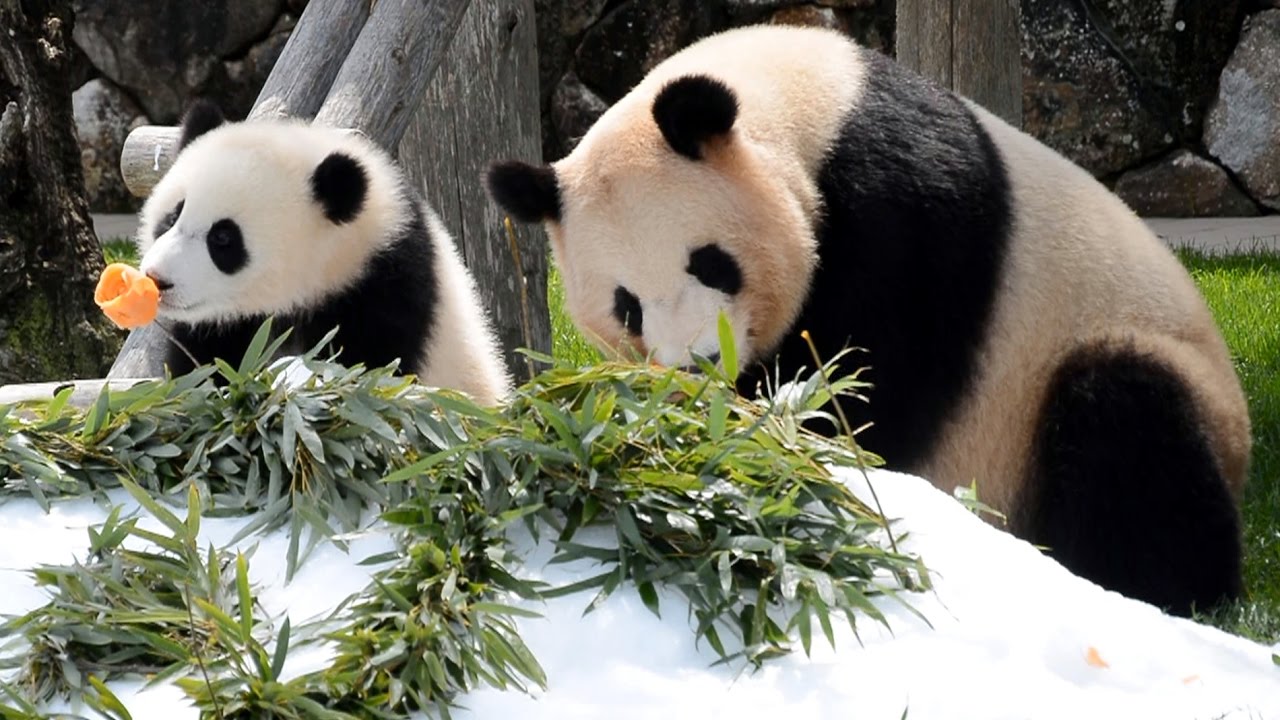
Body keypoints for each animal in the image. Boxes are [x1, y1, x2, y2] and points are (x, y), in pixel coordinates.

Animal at [137, 101, 512, 406]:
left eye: (223, 238)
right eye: (172, 216)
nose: (158, 279)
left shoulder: (386, 291)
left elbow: (367, 368)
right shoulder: (225, 326)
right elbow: (204, 368)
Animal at [486, 25, 1252, 617]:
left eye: (709, 263)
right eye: (627, 305)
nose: (698, 362)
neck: (803, 109)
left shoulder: (902, 216)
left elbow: (872, 383)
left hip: (1117, 368)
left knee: (1129, 427)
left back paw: (1149, 583)